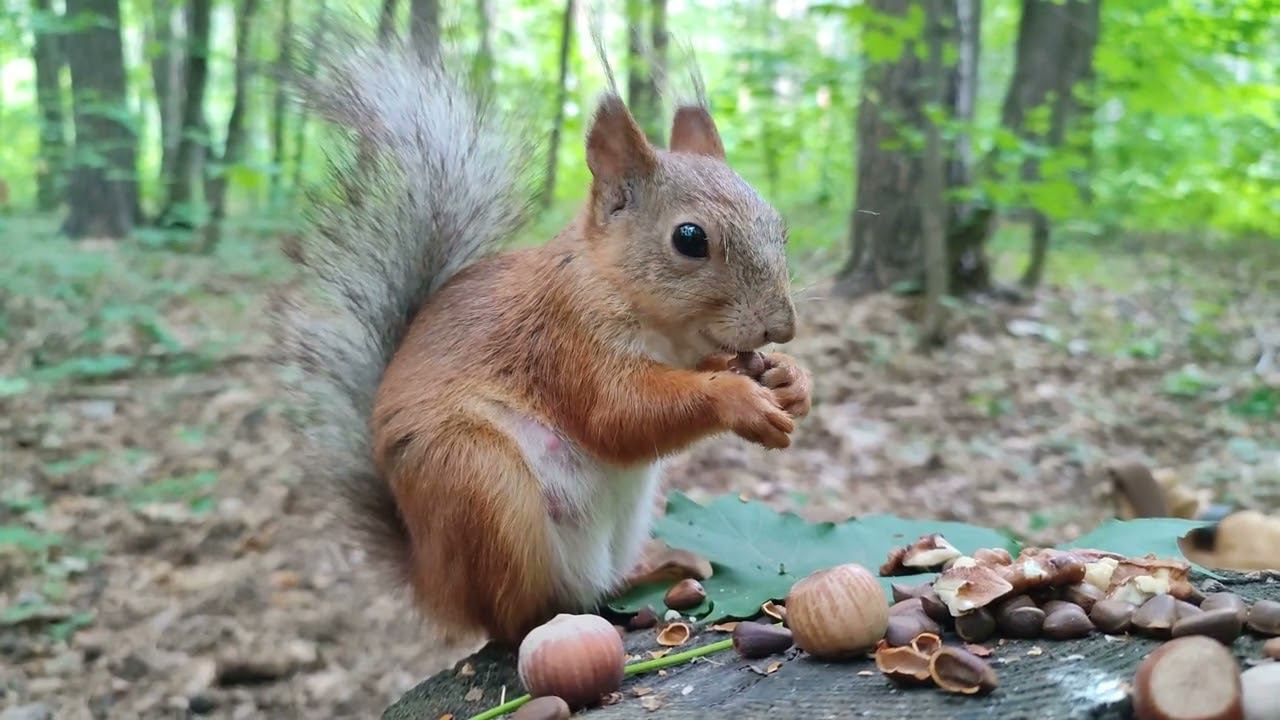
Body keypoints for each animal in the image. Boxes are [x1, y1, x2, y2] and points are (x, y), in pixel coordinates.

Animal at [282, 40, 808, 645]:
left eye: (779, 225)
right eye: (690, 238)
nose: (781, 327)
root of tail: (434, 581)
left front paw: (792, 381)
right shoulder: (565, 336)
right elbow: (617, 413)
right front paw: (740, 399)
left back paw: (654, 572)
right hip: (476, 478)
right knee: (516, 616)